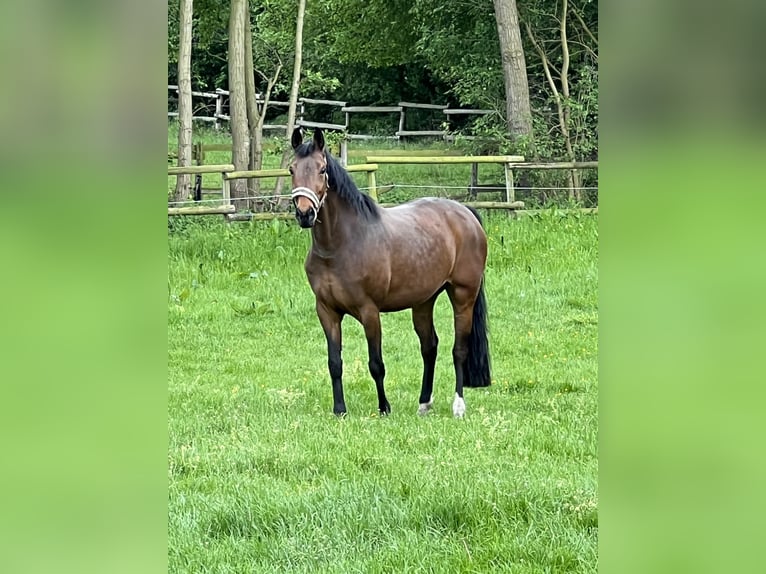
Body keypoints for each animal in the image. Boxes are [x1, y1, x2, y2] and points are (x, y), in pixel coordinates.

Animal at [288, 129, 492, 418]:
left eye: (322, 169)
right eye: (292, 169)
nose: (305, 214)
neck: (340, 245)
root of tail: (465, 213)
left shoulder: (369, 311)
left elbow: (376, 363)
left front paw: (384, 408)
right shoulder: (326, 311)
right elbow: (334, 362)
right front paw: (340, 410)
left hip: (463, 295)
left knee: (459, 350)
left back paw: (458, 406)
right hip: (423, 301)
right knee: (429, 347)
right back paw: (423, 403)